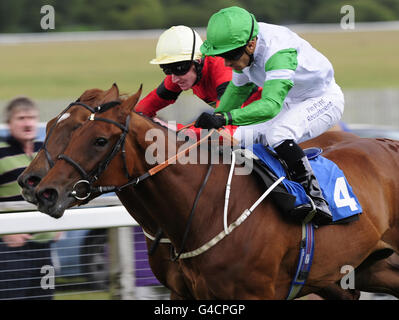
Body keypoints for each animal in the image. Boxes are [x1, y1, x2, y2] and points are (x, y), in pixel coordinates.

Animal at [25, 94, 399, 298]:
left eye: (99, 140)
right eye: (52, 128)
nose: (41, 189)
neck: (207, 206)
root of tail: (387, 141)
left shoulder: (258, 293)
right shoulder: (184, 292)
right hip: (367, 268)